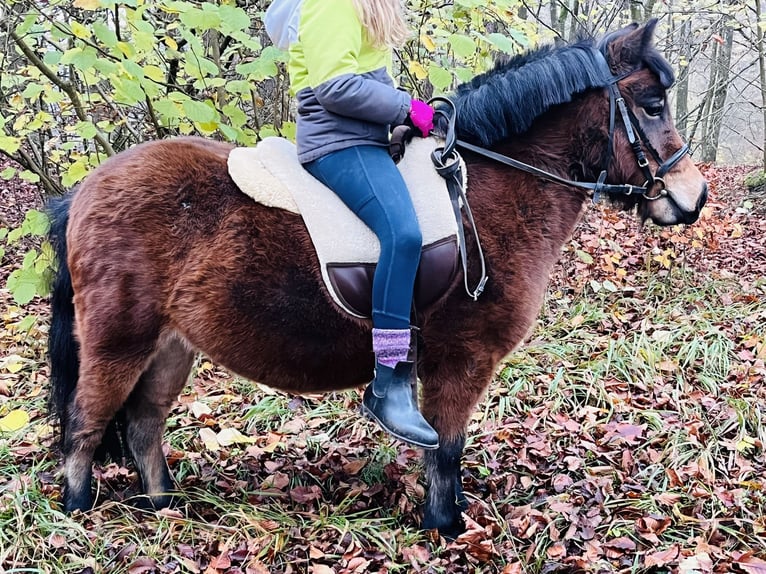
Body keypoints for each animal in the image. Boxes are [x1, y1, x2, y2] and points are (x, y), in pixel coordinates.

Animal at [46, 19, 708, 540]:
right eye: (653, 106)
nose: (693, 196)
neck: (489, 191)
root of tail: (82, 192)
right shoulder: (464, 358)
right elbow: (446, 446)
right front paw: (447, 526)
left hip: (170, 345)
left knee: (143, 423)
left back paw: (164, 506)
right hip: (117, 341)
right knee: (86, 424)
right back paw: (77, 512)